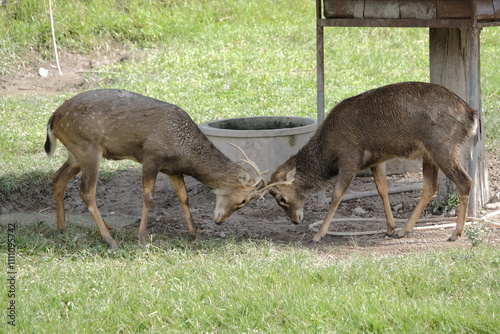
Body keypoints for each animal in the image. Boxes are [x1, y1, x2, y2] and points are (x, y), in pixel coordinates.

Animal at [45, 88, 268, 248]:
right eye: (243, 200)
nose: (219, 221)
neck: (183, 150)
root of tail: (53, 119)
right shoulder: (152, 156)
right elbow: (149, 197)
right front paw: (143, 238)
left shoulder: (173, 169)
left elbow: (184, 197)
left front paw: (195, 234)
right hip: (88, 147)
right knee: (86, 191)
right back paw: (110, 240)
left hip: (76, 153)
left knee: (58, 177)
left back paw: (62, 228)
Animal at [268, 81, 478, 243]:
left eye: (281, 198)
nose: (295, 220)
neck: (328, 153)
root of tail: (472, 115)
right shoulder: (376, 160)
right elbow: (382, 189)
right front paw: (390, 227)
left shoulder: (350, 158)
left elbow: (337, 195)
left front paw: (318, 235)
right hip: (429, 153)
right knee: (431, 185)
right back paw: (404, 230)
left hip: (443, 146)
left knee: (464, 181)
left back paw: (455, 233)